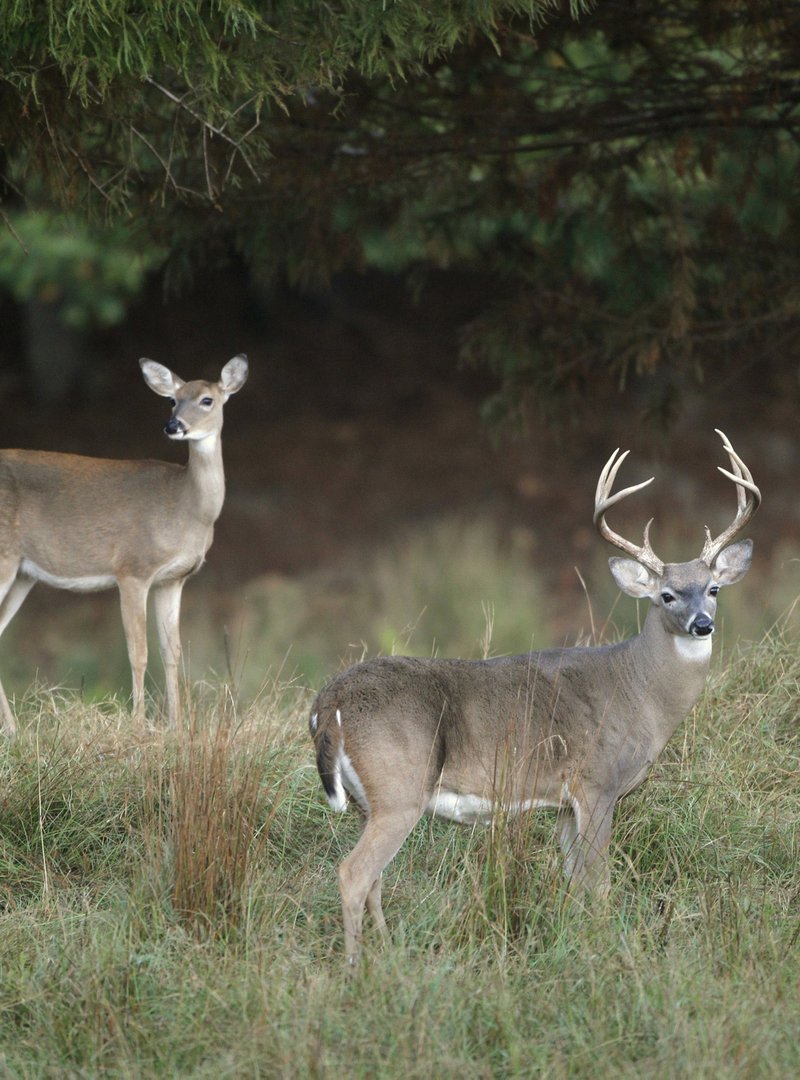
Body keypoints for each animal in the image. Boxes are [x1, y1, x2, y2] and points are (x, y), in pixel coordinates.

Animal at [0, 354, 248, 734]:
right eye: (172, 400)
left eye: (207, 400)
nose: (173, 426)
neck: (185, 508)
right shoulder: (133, 568)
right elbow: (138, 652)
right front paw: (138, 725)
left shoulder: (173, 579)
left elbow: (171, 652)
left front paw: (175, 728)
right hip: (4, 558)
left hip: (23, 574)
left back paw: (13, 731)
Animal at [308, 429, 760, 963]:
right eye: (666, 595)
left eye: (713, 589)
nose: (702, 624)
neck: (640, 691)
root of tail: (327, 704)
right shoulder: (596, 783)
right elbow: (599, 884)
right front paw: (604, 950)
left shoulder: (563, 804)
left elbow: (573, 881)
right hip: (400, 786)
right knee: (354, 873)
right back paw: (358, 968)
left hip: (368, 801)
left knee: (373, 878)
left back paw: (390, 953)